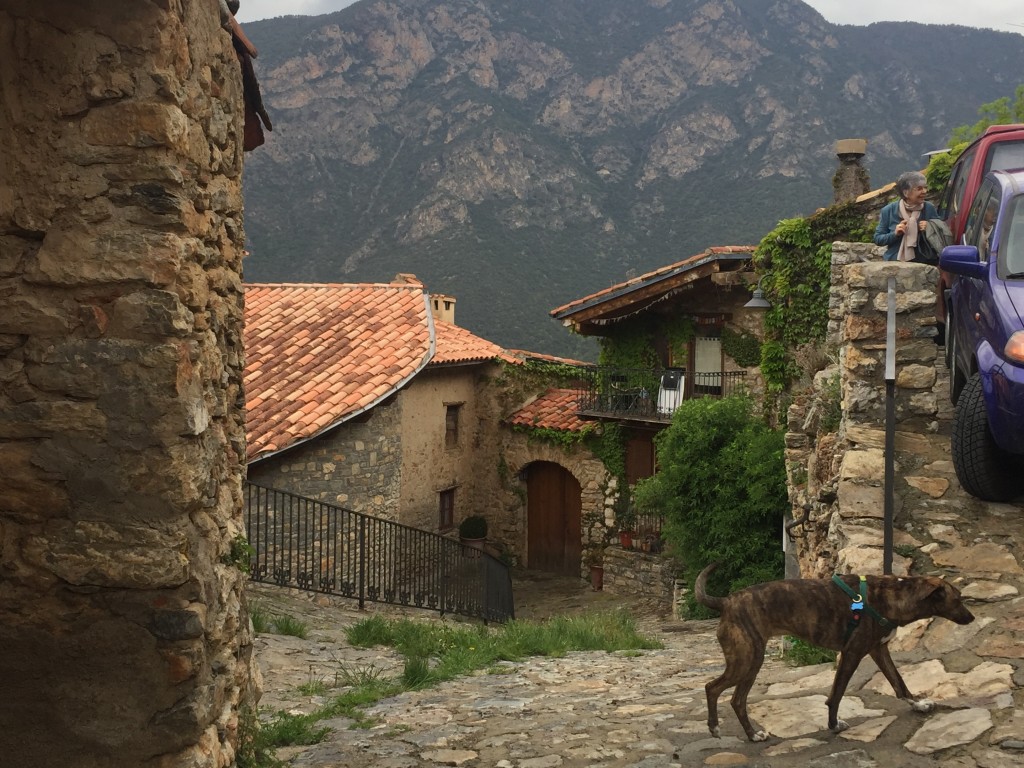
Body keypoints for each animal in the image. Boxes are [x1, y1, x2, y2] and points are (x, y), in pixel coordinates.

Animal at [696, 561, 974, 741]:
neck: (892, 597)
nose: (972, 618)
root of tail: (726, 601)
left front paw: (919, 704)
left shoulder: (879, 651)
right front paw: (833, 724)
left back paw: (746, 733)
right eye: (958, 599)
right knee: (715, 689)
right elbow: (837, 694)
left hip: (750, 663)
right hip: (747, 660)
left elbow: (899, 683)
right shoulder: (851, 654)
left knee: (734, 698)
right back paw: (730, 730)